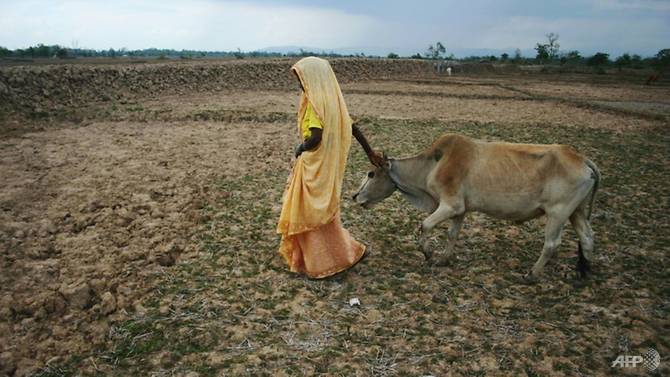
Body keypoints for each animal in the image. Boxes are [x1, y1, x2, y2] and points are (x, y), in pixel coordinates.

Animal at [354, 133, 600, 280]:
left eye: (371, 173)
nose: (356, 196)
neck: (433, 164)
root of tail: (581, 159)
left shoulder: (450, 205)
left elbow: (425, 226)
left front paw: (429, 255)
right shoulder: (460, 210)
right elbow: (452, 234)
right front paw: (443, 259)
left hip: (558, 213)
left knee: (552, 244)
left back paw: (532, 274)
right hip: (576, 211)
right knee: (587, 237)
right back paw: (583, 273)